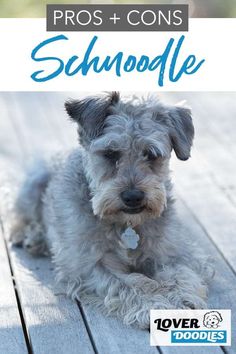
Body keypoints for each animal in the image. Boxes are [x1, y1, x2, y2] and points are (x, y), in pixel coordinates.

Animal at [10, 92, 212, 330]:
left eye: (151, 154)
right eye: (110, 153)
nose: (133, 197)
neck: (126, 224)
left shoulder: (174, 252)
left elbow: (179, 272)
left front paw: (181, 296)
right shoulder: (86, 266)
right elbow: (130, 284)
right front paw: (154, 304)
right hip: (34, 183)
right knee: (20, 217)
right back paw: (32, 237)